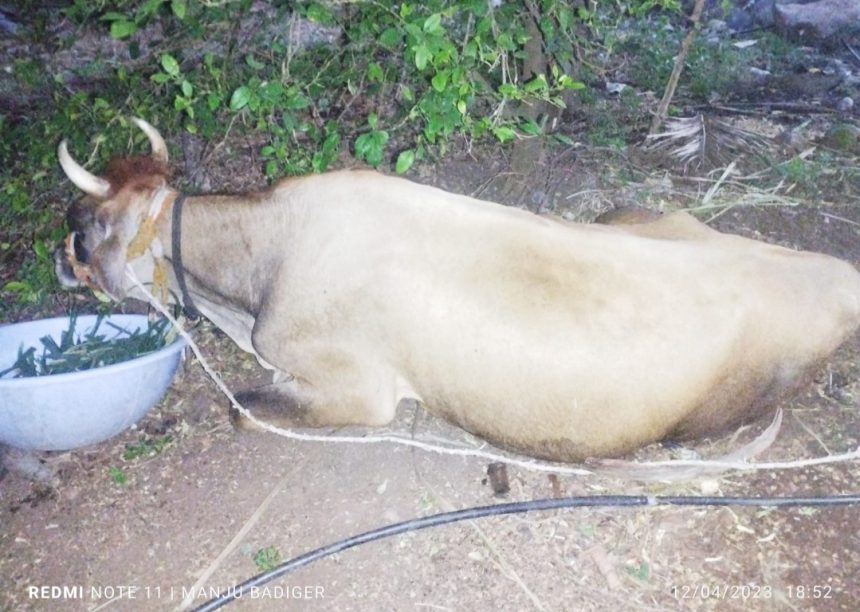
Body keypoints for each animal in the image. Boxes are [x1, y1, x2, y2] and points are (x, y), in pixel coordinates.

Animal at [53, 119, 860, 462]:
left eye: (86, 227)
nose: (61, 260)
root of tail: (838, 275)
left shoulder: (360, 390)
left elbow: (243, 409)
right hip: (641, 214)